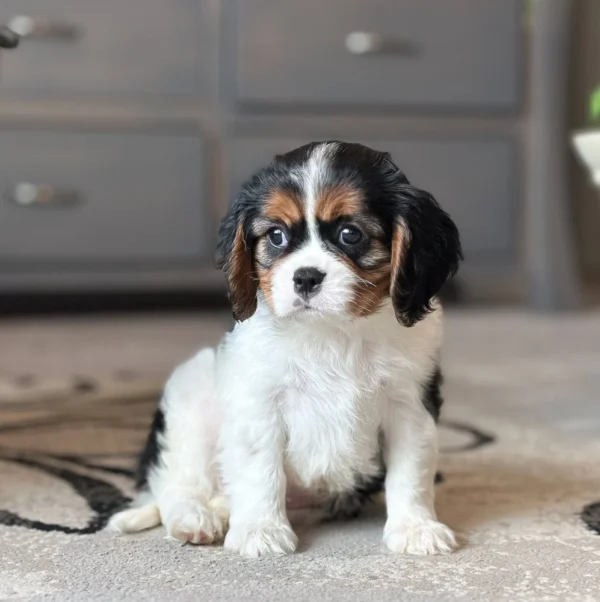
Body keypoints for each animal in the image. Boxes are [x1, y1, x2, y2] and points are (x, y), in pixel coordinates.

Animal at [110, 139, 462, 552]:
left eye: (350, 234)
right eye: (276, 236)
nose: (305, 277)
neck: (330, 331)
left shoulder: (409, 405)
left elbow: (411, 472)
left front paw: (415, 527)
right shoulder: (260, 401)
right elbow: (260, 469)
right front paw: (261, 532)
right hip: (192, 396)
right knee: (178, 485)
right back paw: (196, 519)